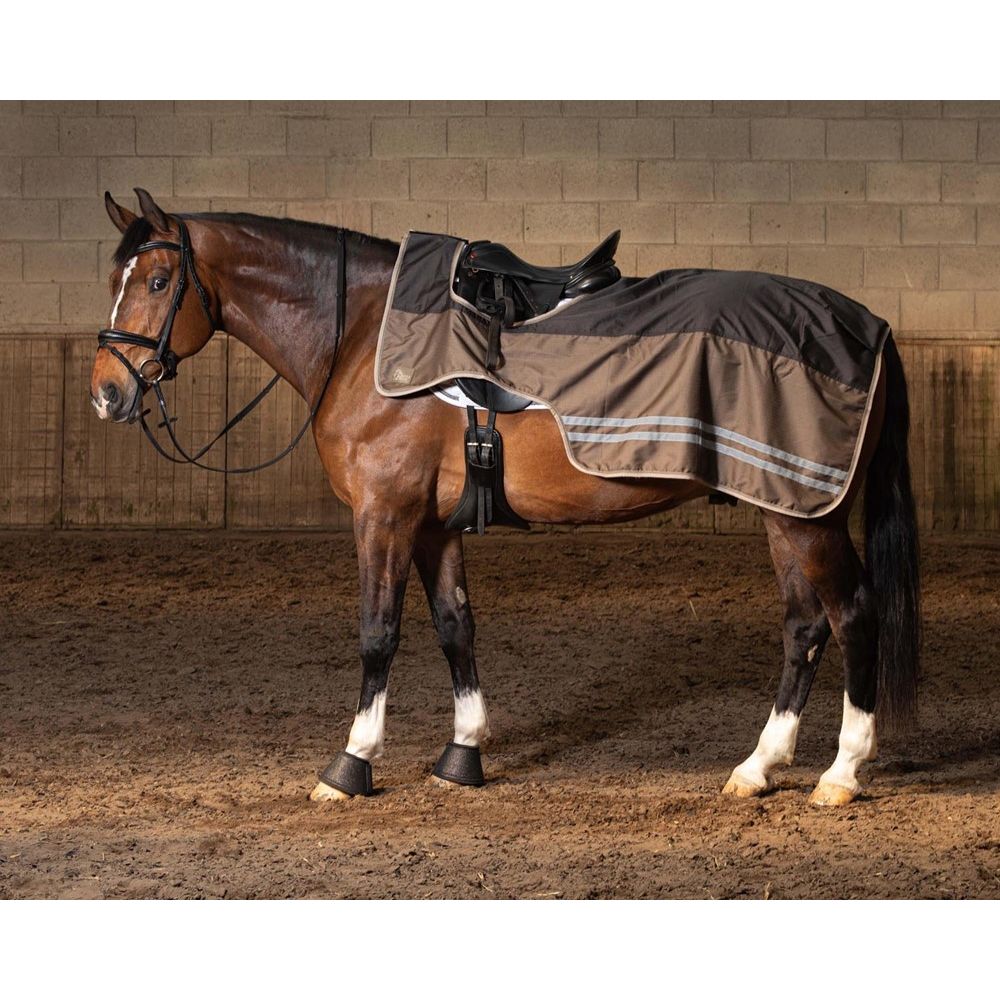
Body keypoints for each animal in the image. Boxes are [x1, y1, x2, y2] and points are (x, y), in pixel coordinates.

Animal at [90, 189, 920, 807]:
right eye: (115, 281)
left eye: (158, 283)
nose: (107, 393)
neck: (362, 334)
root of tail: (869, 324)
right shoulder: (431, 525)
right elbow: (456, 626)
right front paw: (462, 755)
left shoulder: (384, 515)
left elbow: (378, 633)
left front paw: (352, 764)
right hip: (786, 513)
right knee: (803, 626)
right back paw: (758, 767)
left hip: (807, 518)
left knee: (852, 614)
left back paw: (841, 773)